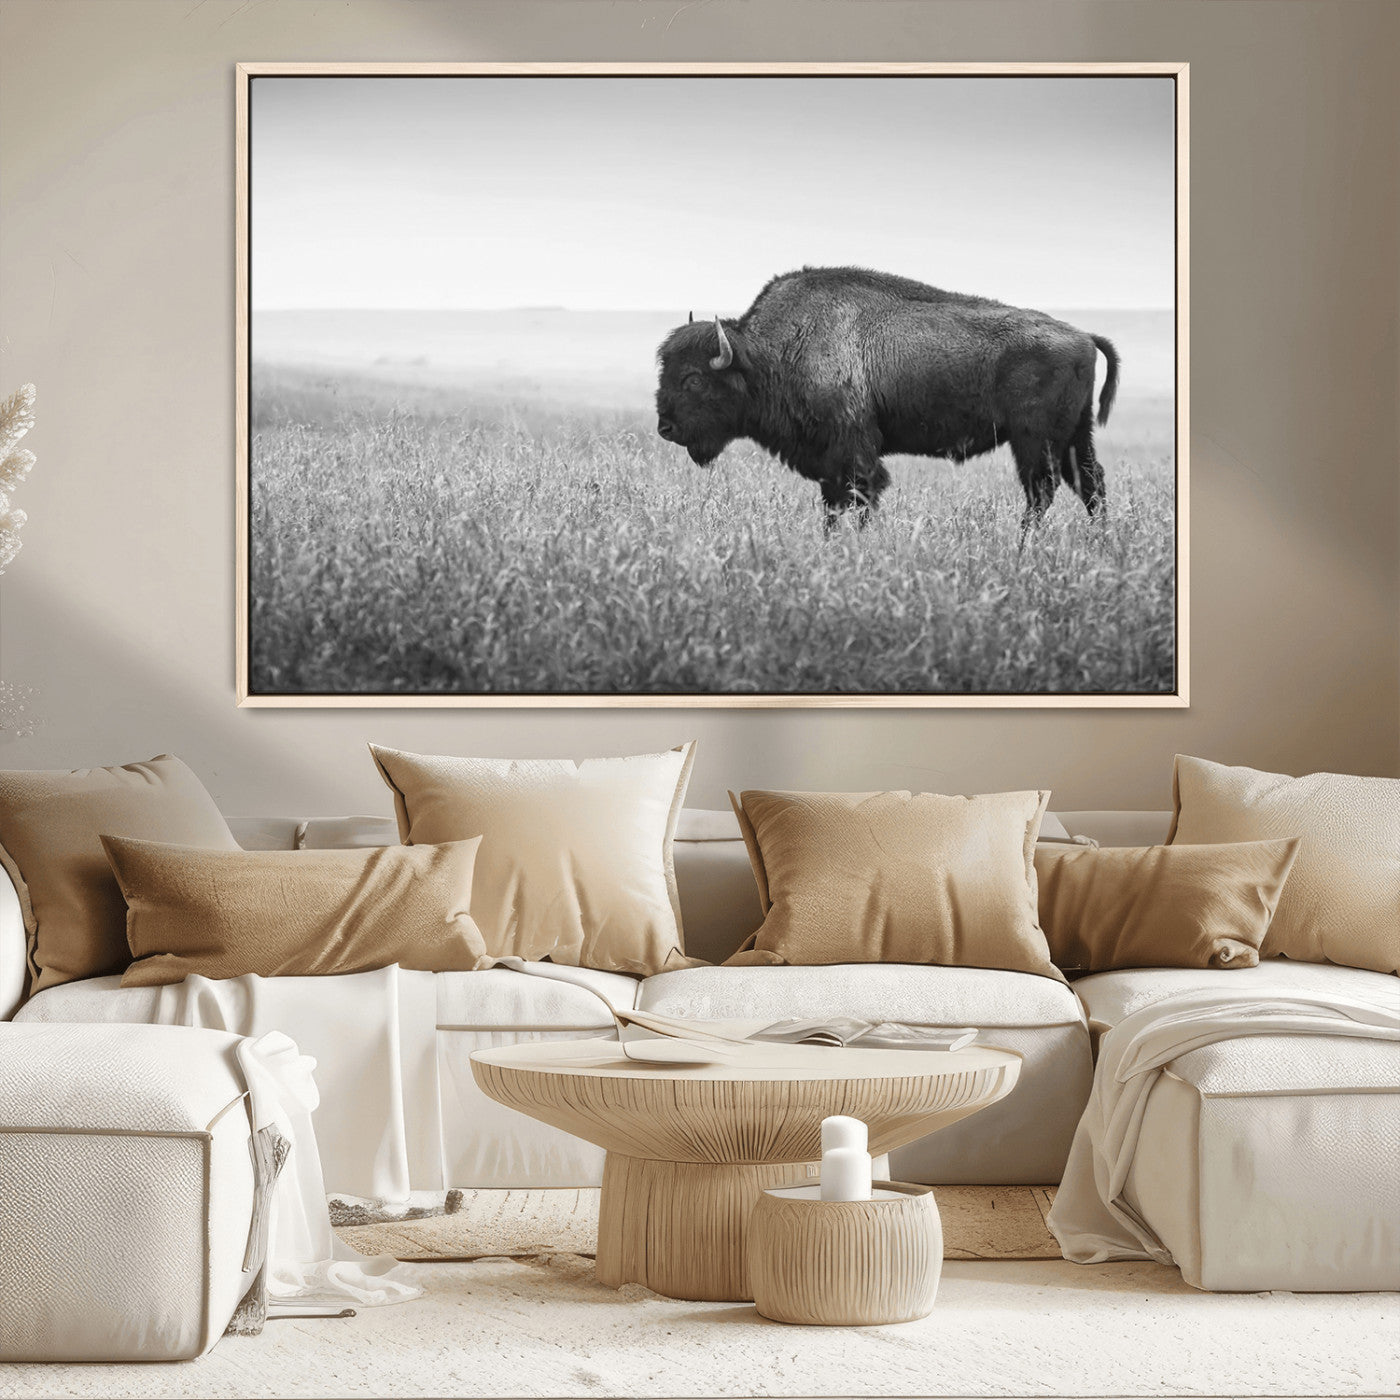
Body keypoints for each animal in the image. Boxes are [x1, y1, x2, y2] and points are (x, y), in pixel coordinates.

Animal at [655, 267, 1120, 532]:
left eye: (693, 379)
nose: (665, 428)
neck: (769, 354)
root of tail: (1083, 335)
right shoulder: (829, 464)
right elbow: (833, 506)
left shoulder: (854, 454)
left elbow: (860, 498)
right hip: (1075, 437)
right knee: (1090, 485)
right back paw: (1099, 544)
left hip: (1034, 441)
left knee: (1042, 491)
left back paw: (1024, 546)